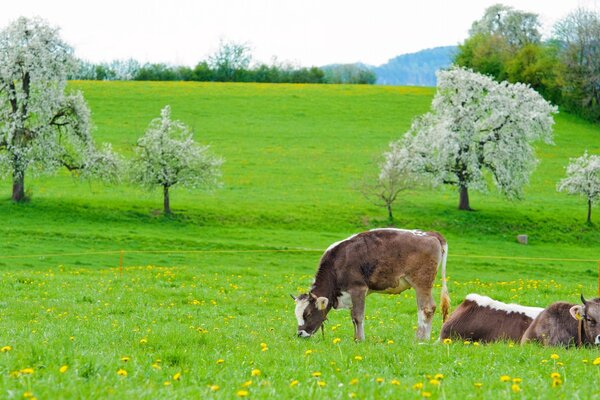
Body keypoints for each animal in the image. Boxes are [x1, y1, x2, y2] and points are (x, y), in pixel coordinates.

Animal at [290, 228, 450, 340]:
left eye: (308, 313)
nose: (300, 333)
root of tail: (430, 233)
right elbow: (353, 317)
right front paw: (355, 338)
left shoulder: (358, 288)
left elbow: (357, 316)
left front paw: (360, 340)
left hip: (422, 282)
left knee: (427, 308)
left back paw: (421, 339)